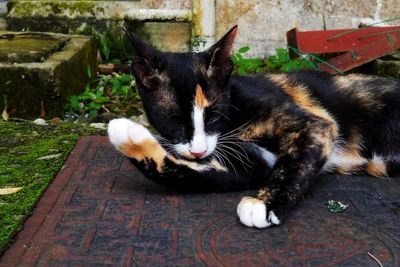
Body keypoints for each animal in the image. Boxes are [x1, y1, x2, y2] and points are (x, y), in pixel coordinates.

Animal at [108, 26, 400, 229]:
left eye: (213, 117)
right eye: (174, 120)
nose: (198, 151)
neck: (235, 112)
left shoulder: (316, 124)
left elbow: (294, 163)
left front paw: (265, 204)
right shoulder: (253, 163)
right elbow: (191, 173)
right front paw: (130, 140)